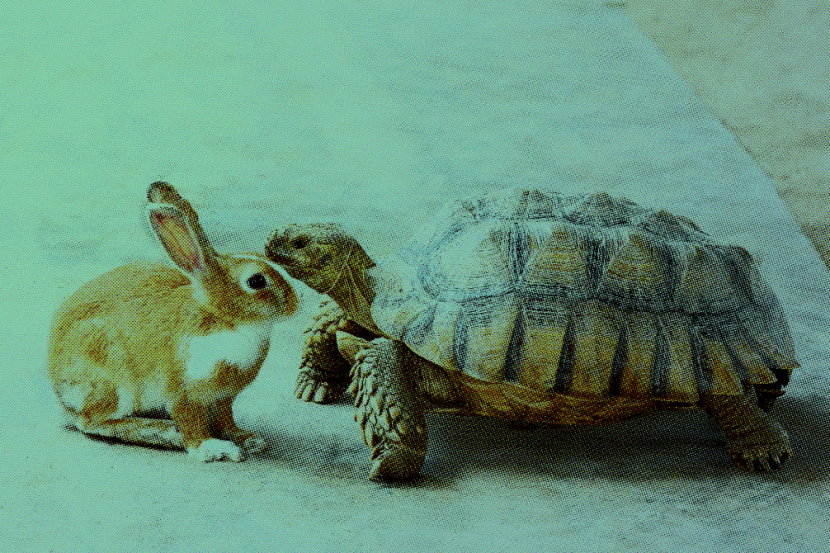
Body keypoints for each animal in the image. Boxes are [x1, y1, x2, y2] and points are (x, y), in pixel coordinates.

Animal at [48, 182, 298, 462]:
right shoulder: (182, 392)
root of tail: (58, 388)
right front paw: (213, 448)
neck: (225, 320)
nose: (296, 304)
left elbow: (226, 421)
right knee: (91, 421)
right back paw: (163, 433)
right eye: (256, 281)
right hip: (113, 378)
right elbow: (192, 426)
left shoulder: (223, 398)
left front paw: (247, 439)